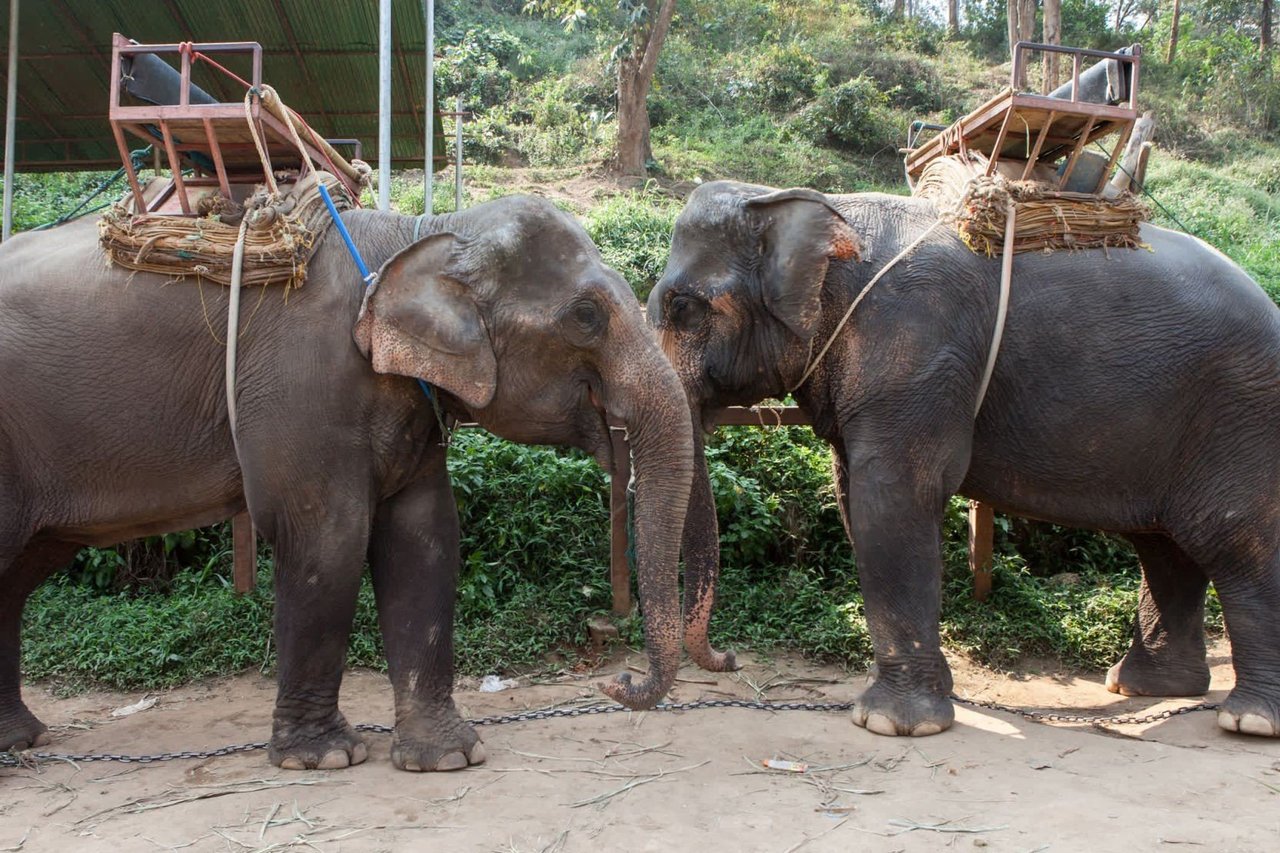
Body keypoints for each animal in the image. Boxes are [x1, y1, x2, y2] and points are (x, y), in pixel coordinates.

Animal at [0, 195, 696, 768]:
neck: (423, 232)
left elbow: (425, 538)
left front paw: (447, 758)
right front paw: (325, 759)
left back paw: (20, 742)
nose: (614, 681)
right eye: (586, 316)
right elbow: (327, 539)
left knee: (18, 574)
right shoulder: (304, 386)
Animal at [650, 178, 1280, 737]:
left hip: (1240, 418)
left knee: (1234, 538)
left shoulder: (916, 351)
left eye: (684, 308)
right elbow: (857, 501)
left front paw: (891, 723)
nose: (730, 659)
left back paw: (1248, 721)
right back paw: (1146, 688)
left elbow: (892, 501)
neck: (827, 212)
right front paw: (934, 696)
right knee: (1165, 546)